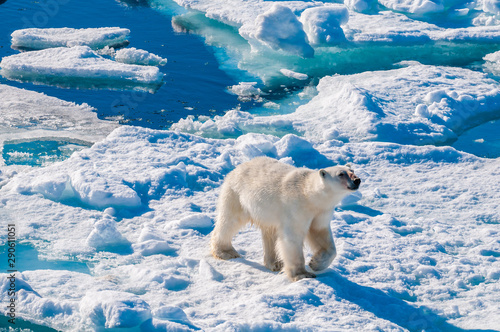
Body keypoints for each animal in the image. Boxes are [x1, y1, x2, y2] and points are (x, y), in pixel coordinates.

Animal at [210, 157, 360, 282]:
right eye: (341, 174)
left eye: (352, 170)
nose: (357, 180)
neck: (309, 193)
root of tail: (238, 167)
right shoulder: (296, 208)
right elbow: (293, 238)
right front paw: (302, 274)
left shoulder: (321, 212)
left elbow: (321, 234)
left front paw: (315, 263)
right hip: (236, 195)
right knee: (230, 221)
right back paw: (226, 252)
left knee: (269, 233)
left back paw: (275, 263)